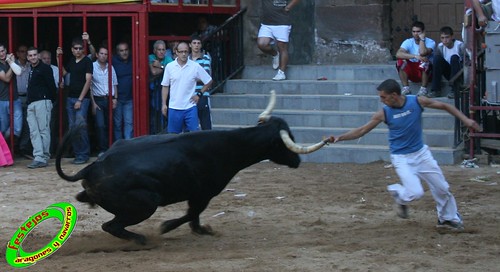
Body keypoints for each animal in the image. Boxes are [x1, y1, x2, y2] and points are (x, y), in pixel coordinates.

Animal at [55, 91, 328, 244]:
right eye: (283, 143)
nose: (297, 160)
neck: (229, 145)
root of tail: (91, 168)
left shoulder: (199, 195)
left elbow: (193, 217)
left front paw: (201, 230)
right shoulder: (203, 194)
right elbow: (192, 215)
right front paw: (170, 227)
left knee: (92, 206)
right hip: (147, 203)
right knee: (111, 226)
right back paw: (141, 239)